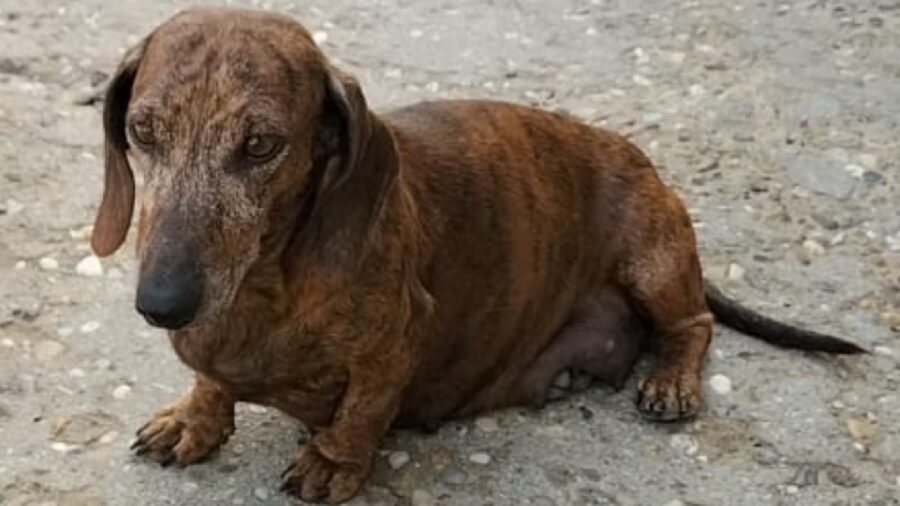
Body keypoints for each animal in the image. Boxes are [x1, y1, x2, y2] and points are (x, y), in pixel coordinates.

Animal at [89, 6, 864, 502]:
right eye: (142, 131)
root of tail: (633, 154)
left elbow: (363, 409)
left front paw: (333, 462)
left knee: (694, 323)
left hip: (656, 257)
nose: (162, 305)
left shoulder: (397, 344)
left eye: (260, 145)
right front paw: (195, 420)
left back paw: (670, 380)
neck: (262, 285)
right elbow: (212, 382)